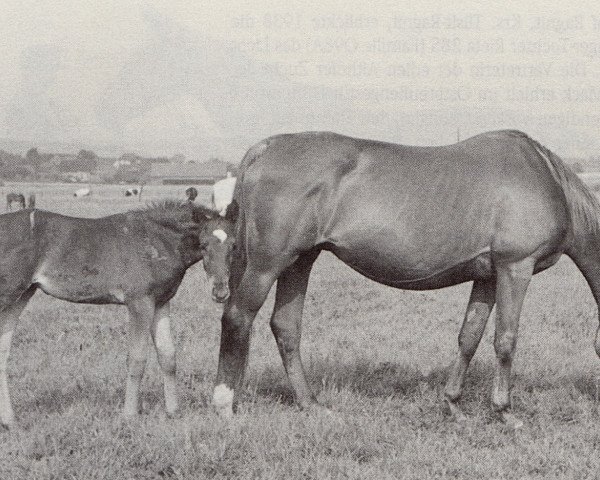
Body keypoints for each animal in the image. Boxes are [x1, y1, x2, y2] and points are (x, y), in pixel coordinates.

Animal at [0, 200, 239, 428]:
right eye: (204, 245)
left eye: (234, 246)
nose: (220, 292)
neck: (157, 240)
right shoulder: (139, 303)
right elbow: (137, 359)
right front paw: (130, 415)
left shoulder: (162, 303)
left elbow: (168, 355)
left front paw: (173, 411)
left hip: (21, 296)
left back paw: (10, 421)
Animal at [214, 130, 600, 428]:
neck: (548, 179)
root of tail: (268, 146)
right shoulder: (515, 268)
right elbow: (505, 340)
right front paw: (505, 413)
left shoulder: (488, 276)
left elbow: (469, 337)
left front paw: (453, 405)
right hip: (269, 263)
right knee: (237, 316)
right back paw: (223, 405)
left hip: (300, 260)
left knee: (286, 327)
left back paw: (312, 405)